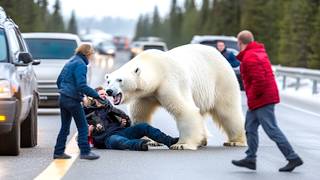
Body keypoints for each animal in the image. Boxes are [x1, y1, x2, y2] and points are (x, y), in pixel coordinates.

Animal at [105, 44, 245, 150]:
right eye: (108, 81)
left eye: (120, 80)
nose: (109, 91)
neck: (156, 67)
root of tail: (219, 54)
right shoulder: (145, 94)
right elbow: (140, 114)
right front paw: (150, 141)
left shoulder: (170, 81)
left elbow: (184, 109)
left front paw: (181, 145)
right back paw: (203, 140)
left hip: (221, 80)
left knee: (227, 110)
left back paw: (235, 141)